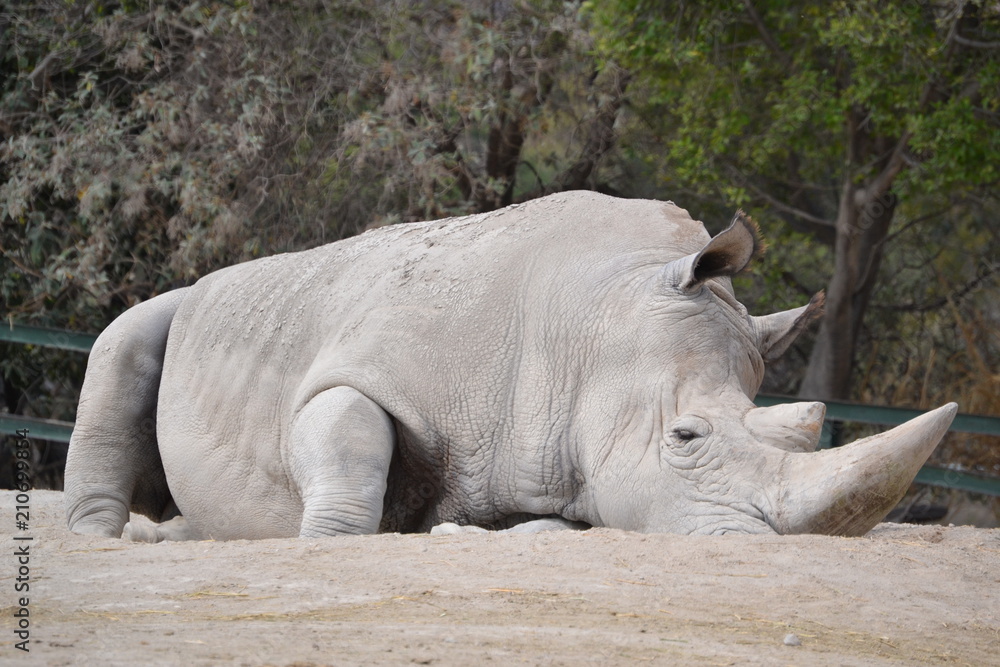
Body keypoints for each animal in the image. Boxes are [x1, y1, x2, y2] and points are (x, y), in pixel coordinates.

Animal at [64, 191, 957, 542]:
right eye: (686, 436)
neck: (592, 323)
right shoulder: (357, 367)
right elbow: (348, 438)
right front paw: (328, 539)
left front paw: (454, 527)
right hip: (184, 309)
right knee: (125, 339)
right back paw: (103, 542)